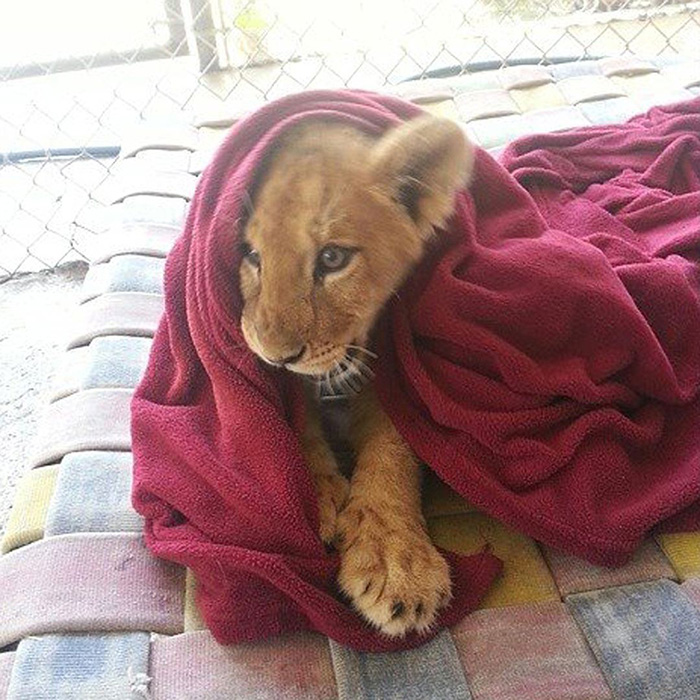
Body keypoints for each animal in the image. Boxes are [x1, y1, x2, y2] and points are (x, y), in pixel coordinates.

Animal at [239, 113, 474, 637]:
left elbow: (395, 443)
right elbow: (297, 415)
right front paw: (315, 495)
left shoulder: (397, 353)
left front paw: (396, 563)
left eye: (332, 258)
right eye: (251, 255)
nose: (277, 355)